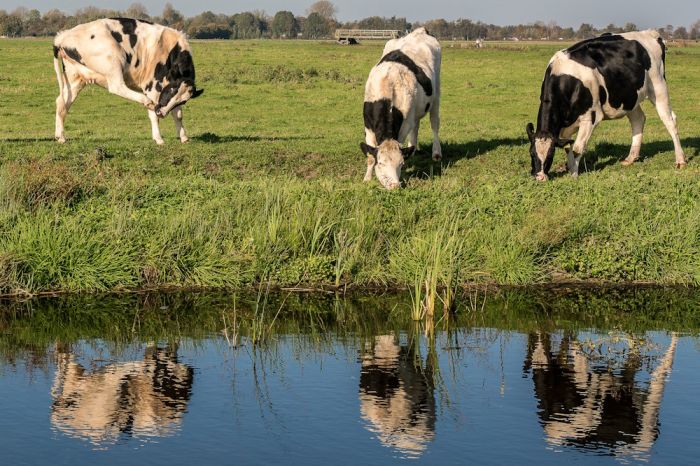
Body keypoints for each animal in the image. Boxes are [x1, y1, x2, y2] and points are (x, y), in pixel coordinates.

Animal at [52, 17, 202, 144]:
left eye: (183, 101)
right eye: (171, 89)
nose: (161, 113)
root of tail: (62, 36)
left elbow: (178, 114)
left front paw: (183, 137)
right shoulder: (152, 86)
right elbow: (154, 115)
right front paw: (158, 138)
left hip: (75, 77)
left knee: (62, 102)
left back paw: (60, 137)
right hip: (114, 60)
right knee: (117, 87)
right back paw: (146, 101)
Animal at [358, 27, 440, 189]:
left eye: (400, 164)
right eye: (381, 163)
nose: (394, 185)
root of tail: (420, 31)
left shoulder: (404, 124)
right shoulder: (368, 125)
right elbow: (370, 155)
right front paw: (367, 178)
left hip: (436, 95)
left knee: (434, 124)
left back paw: (436, 153)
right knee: (416, 127)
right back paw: (413, 150)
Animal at [528, 30, 688, 180]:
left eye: (550, 154)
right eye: (531, 153)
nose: (540, 177)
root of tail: (650, 33)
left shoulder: (591, 118)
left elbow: (577, 148)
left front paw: (573, 174)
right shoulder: (565, 126)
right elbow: (568, 147)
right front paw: (569, 168)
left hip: (659, 87)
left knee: (670, 120)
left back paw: (680, 160)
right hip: (629, 96)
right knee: (638, 119)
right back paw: (630, 158)